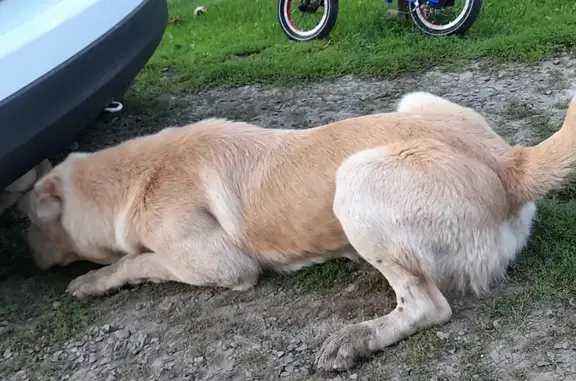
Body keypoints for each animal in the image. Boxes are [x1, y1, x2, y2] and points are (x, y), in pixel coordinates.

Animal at [18, 93, 576, 372]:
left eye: (26, 222)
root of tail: (510, 162)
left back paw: (356, 340)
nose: (24, 258)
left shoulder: (221, 266)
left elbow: (136, 260)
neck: (139, 175)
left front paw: (93, 281)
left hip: (355, 181)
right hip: (413, 102)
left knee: (427, 306)